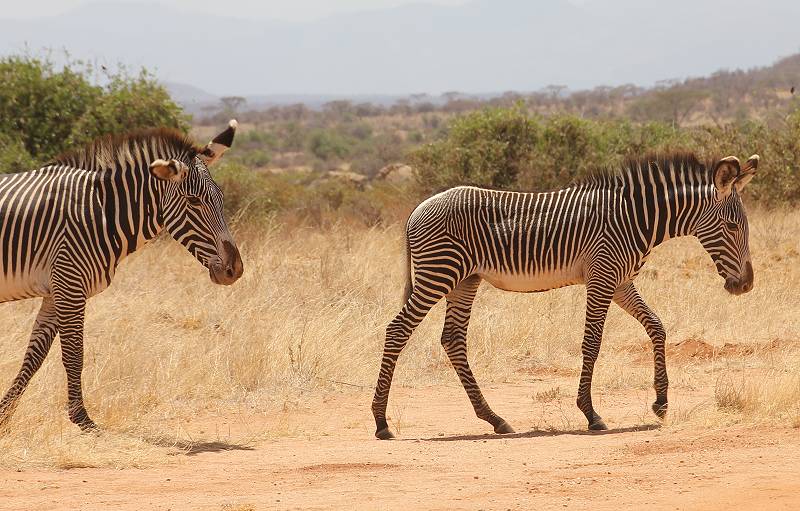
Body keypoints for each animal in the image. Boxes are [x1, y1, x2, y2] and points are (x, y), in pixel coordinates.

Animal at [0, 121, 244, 432]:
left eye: (221, 199)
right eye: (193, 201)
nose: (235, 269)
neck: (102, 212)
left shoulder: (55, 290)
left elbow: (34, 356)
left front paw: (3, 415)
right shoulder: (70, 283)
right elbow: (74, 353)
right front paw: (82, 419)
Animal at [372, 152, 760, 440]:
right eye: (732, 227)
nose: (745, 286)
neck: (635, 219)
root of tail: (417, 209)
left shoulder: (621, 282)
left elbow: (657, 326)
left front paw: (661, 401)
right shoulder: (602, 277)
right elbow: (592, 343)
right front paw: (591, 414)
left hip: (464, 279)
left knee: (452, 339)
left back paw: (494, 418)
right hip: (438, 273)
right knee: (398, 330)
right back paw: (381, 422)